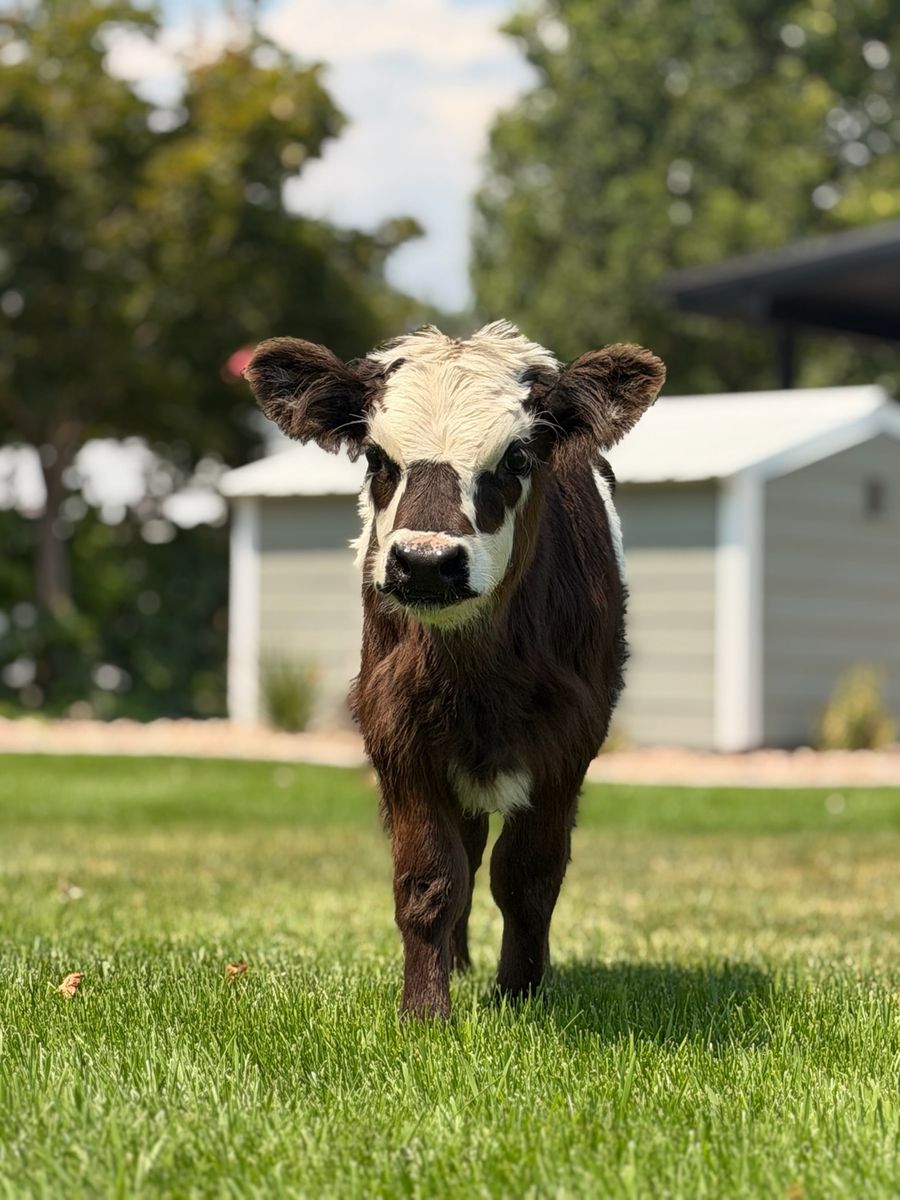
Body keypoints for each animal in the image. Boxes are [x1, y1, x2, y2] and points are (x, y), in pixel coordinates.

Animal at [245, 321, 665, 1019]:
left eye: (517, 459)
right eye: (377, 458)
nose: (425, 563)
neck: (478, 677)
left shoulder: (567, 744)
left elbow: (527, 880)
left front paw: (520, 997)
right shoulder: (398, 735)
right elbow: (431, 880)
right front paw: (425, 1009)